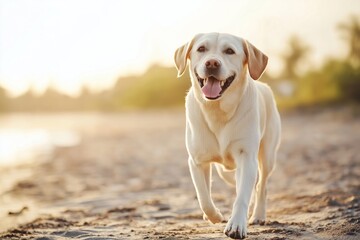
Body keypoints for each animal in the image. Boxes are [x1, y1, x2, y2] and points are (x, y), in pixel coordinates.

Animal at [174, 32, 282, 239]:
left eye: (230, 51)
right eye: (201, 49)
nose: (212, 63)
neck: (218, 110)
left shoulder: (247, 157)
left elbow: (242, 197)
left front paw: (236, 225)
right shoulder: (197, 161)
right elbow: (204, 196)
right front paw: (214, 216)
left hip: (268, 156)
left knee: (261, 186)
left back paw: (258, 215)